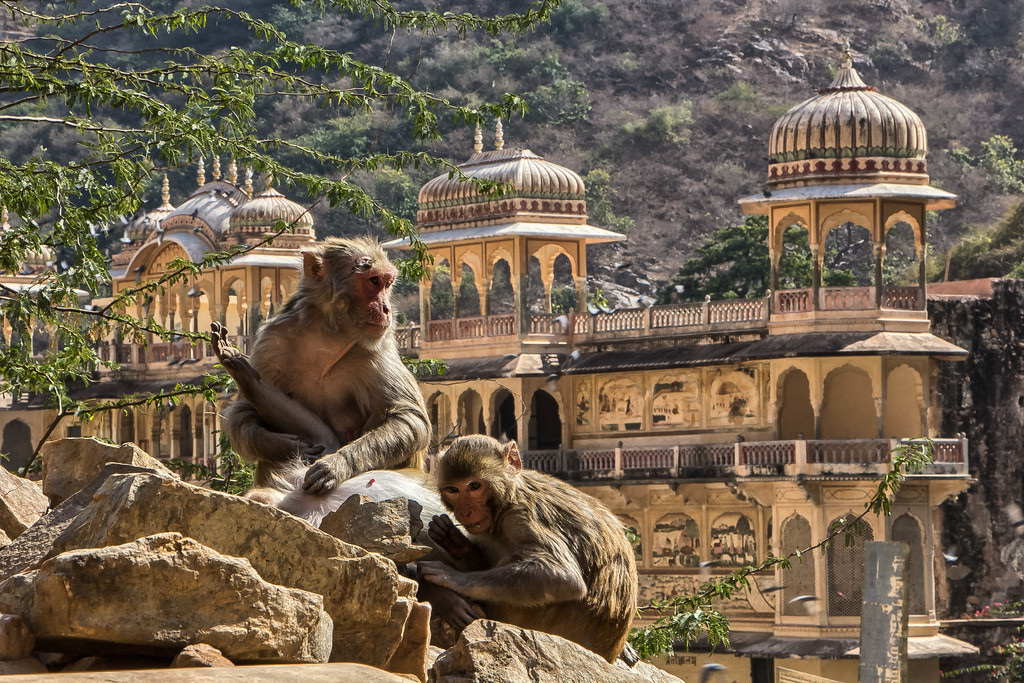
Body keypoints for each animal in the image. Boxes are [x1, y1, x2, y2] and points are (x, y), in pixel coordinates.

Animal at [211, 237, 428, 499]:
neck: (328, 336)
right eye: (373, 281)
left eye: (387, 283)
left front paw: (337, 464)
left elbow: (408, 417)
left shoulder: (377, 349)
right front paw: (289, 446)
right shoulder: (272, 340)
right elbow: (245, 412)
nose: (386, 309)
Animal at [419, 436, 634, 663]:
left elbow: (563, 576)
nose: (465, 511)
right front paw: (456, 543)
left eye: (474, 486)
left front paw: (449, 577)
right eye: (454, 490)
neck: (508, 498)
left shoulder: (520, 517)